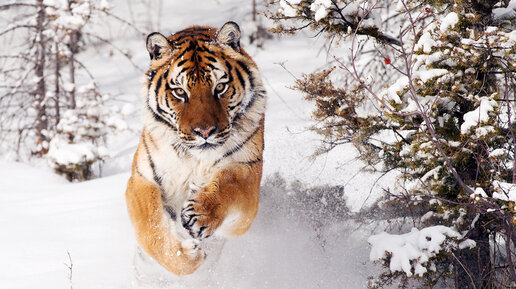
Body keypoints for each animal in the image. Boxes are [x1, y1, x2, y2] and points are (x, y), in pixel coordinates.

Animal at [124, 21, 266, 276]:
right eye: (180, 92)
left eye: (220, 87)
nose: (205, 131)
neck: (195, 159)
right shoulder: (141, 179)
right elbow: (151, 228)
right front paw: (187, 255)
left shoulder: (248, 173)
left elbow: (230, 183)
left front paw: (200, 214)